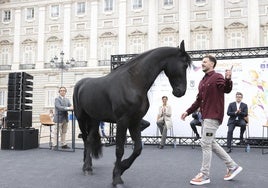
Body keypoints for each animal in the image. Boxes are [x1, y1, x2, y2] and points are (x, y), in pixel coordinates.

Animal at [72, 40, 192, 186]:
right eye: (185, 65)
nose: (180, 91)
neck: (132, 82)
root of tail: (80, 84)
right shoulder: (122, 121)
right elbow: (119, 149)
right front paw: (116, 177)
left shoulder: (135, 120)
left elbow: (138, 149)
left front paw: (122, 167)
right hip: (81, 118)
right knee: (85, 139)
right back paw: (86, 167)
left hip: (95, 120)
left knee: (89, 140)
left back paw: (88, 165)